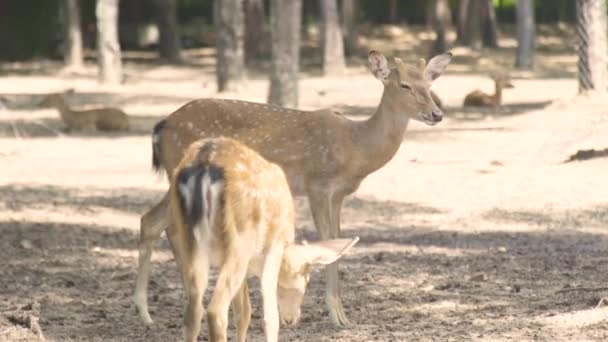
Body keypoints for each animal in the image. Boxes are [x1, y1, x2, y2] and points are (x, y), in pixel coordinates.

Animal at [166, 137, 356, 342]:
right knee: (215, 311)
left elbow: (244, 313)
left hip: (190, 240)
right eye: (307, 281)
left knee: (193, 312)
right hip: (241, 239)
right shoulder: (274, 248)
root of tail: (205, 162)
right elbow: (270, 316)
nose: (291, 319)